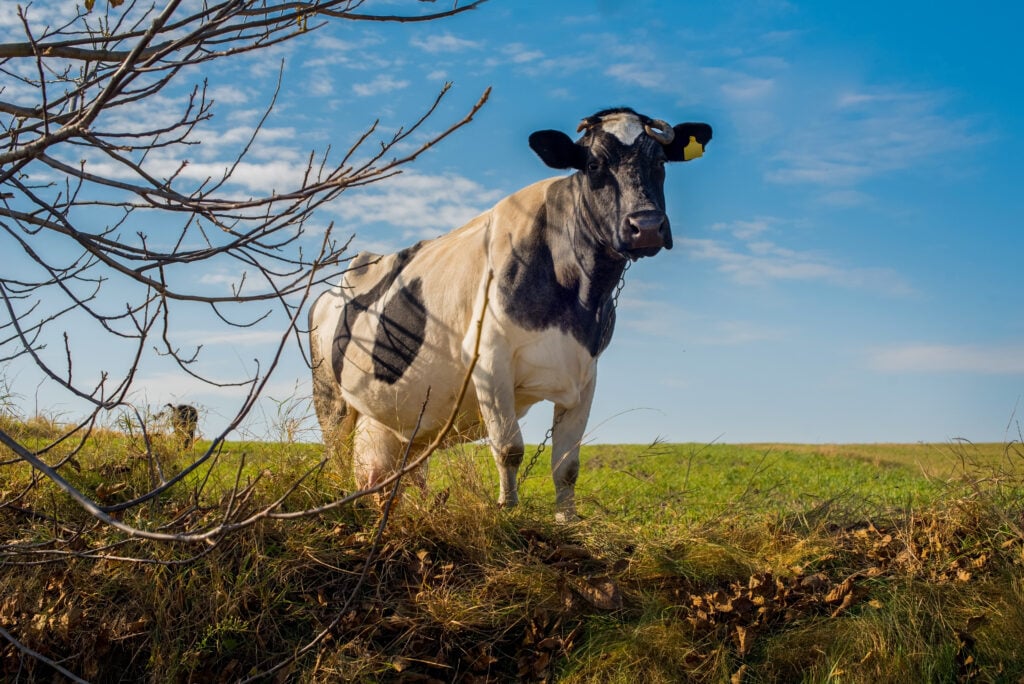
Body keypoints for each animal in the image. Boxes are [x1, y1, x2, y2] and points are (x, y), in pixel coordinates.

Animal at [309, 107, 712, 521]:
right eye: (594, 164)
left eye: (660, 162)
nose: (645, 226)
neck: (579, 295)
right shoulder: (490, 359)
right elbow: (509, 447)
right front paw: (508, 510)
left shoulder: (586, 371)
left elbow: (566, 464)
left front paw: (567, 519)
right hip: (330, 400)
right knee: (337, 457)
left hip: (408, 418)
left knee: (401, 472)